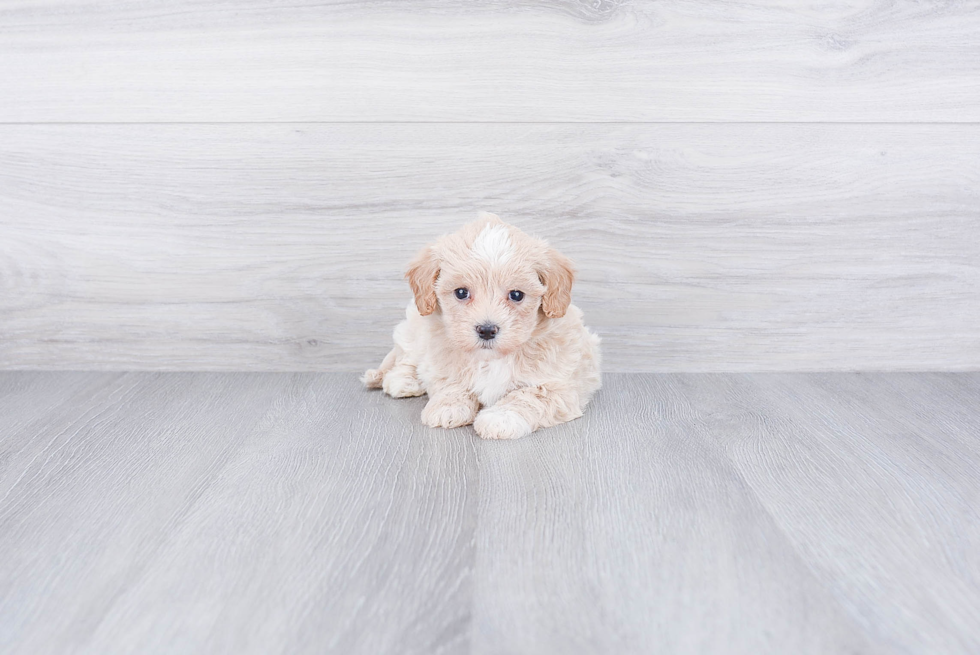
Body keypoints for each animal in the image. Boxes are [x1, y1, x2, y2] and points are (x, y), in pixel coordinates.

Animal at [364, 215, 600, 440]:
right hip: (413, 329)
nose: (487, 330)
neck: (491, 359)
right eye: (461, 293)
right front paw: (448, 406)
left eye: (516, 295)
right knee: (407, 356)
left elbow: (528, 396)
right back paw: (403, 379)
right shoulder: (442, 356)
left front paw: (501, 417)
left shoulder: (559, 385)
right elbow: (451, 382)